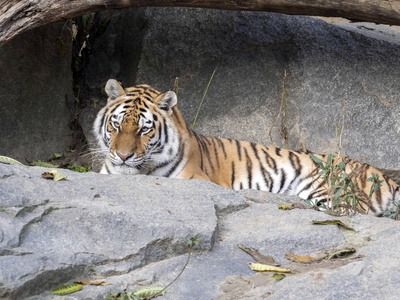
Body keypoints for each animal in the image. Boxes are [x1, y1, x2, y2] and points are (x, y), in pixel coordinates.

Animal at [94, 78, 400, 217]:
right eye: (116, 125)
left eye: (144, 129)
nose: (123, 156)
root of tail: (383, 176)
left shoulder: (195, 179)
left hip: (327, 192)